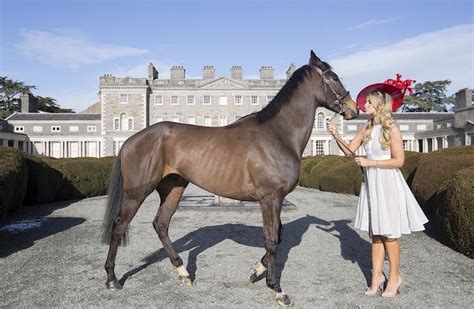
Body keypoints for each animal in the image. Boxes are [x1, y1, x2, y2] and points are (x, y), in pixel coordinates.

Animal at [102, 50, 358, 306]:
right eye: (333, 77)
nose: (353, 109)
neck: (278, 135)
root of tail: (131, 139)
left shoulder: (275, 200)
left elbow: (278, 236)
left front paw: (256, 271)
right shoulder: (270, 198)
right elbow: (272, 239)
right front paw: (276, 289)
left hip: (173, 187)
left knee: (161, 224)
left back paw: (183, 272)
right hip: (137, 192)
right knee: (119, 226)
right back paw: (112, 279)